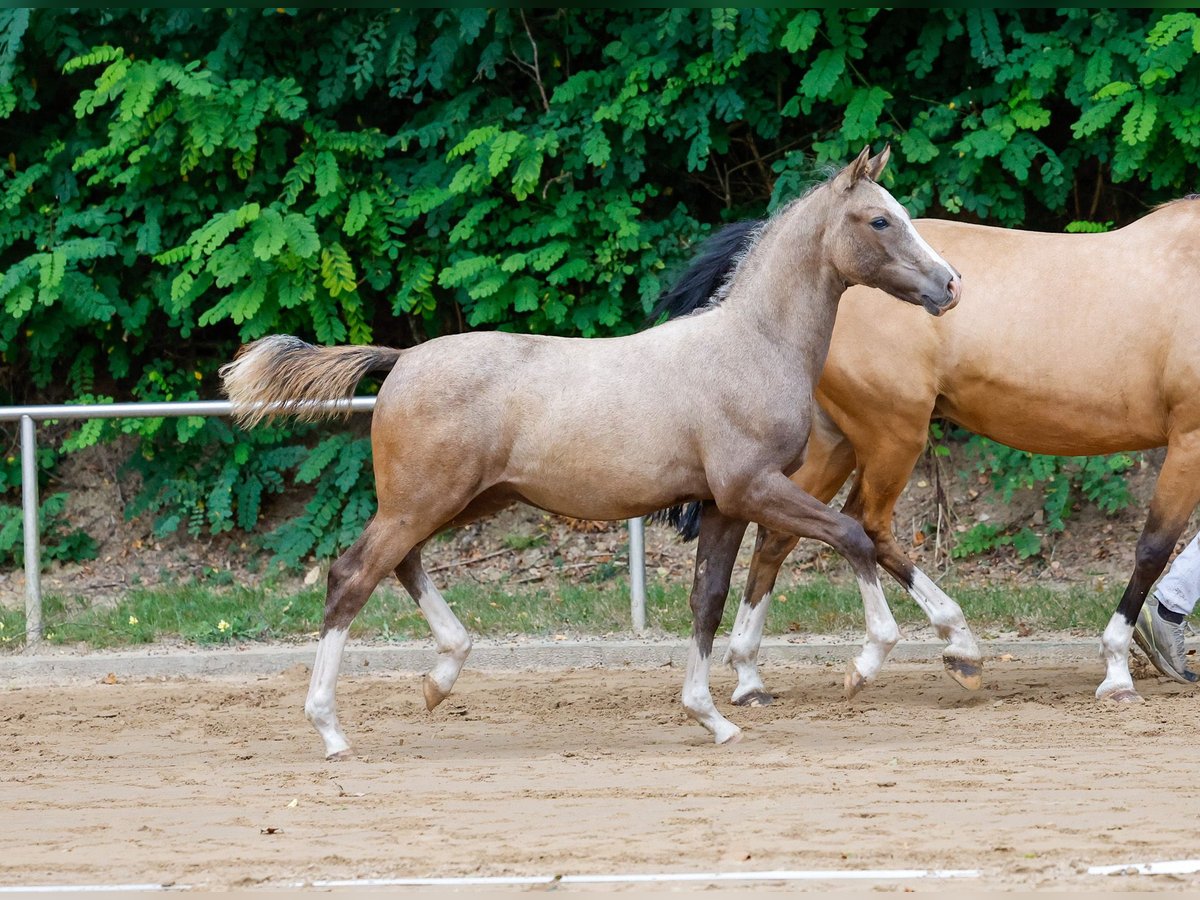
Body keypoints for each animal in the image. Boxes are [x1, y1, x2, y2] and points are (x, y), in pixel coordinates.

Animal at [220, 146, 960, 753]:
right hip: (424, 501)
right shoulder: (754, 488)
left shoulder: (725, 505)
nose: (950, 285)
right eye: (880, 221)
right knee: (351, 576)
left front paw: (711, 717)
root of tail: (401, 360)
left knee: (401, 565)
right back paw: (331, 728)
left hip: (462, 501)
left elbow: (708, 599)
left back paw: (440, 676)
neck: (749, 346)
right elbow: (852, 536)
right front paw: (865, 663)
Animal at [657, 200, 1200, 710]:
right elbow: (1153, 548)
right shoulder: (1188, 439)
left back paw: (750, 676)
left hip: (834, 442)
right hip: (892, 434)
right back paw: (943, 650)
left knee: (779, 535)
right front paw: (1118, 670)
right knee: (867, 526)